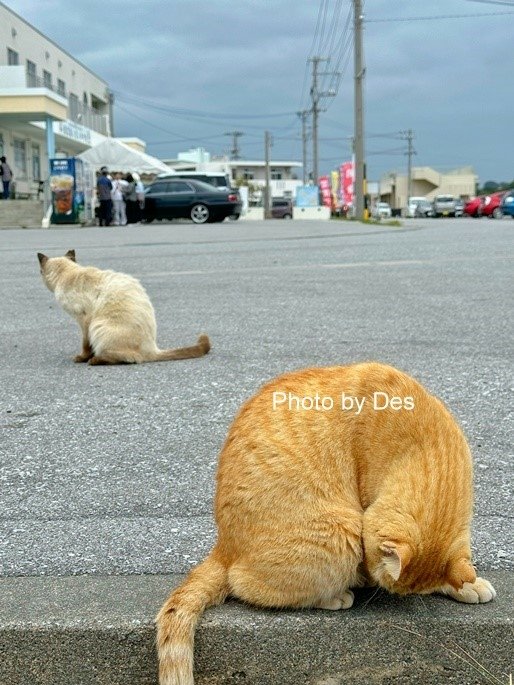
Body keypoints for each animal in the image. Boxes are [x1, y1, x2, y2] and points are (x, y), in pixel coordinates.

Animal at [37, 250, 210, 364]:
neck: (67, 274)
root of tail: (153, 348)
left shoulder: (84, 320)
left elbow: (85, 344)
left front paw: (82, 358)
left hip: (97, 326)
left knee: (131, 358)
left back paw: (95, 360)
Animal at [155, 360, 492, 680]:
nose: (375, 582)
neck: (427, 442)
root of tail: (224, 547)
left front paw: (468, 584)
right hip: (342, 535)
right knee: (249, 587)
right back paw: (335, 597)